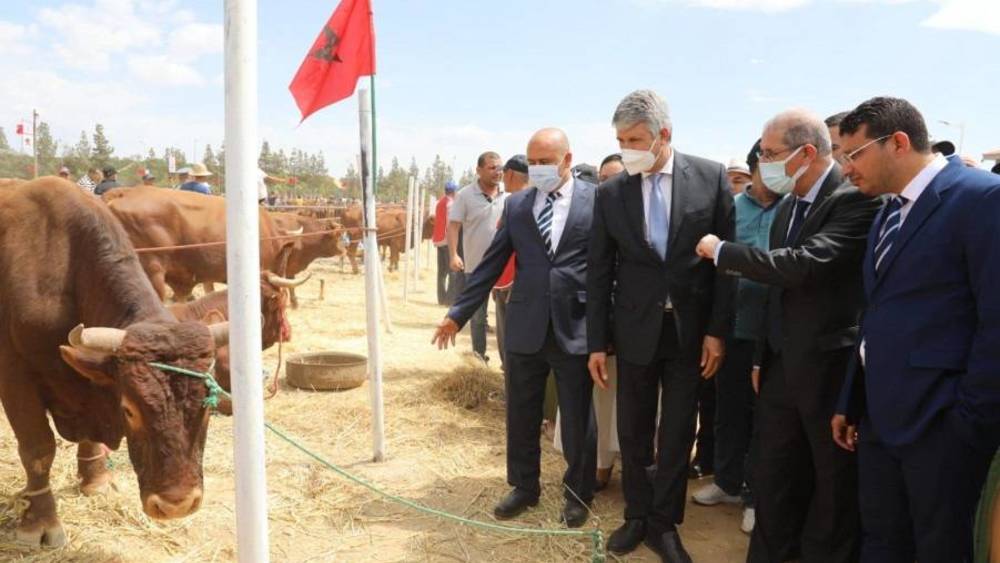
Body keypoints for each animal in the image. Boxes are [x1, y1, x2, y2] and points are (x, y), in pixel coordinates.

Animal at [0, 177, 229, 548]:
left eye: (208, 406)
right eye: (129, 410)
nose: (176, 504)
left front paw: (95, 479)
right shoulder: (15, 377)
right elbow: (38, 450)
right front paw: (39, 520)